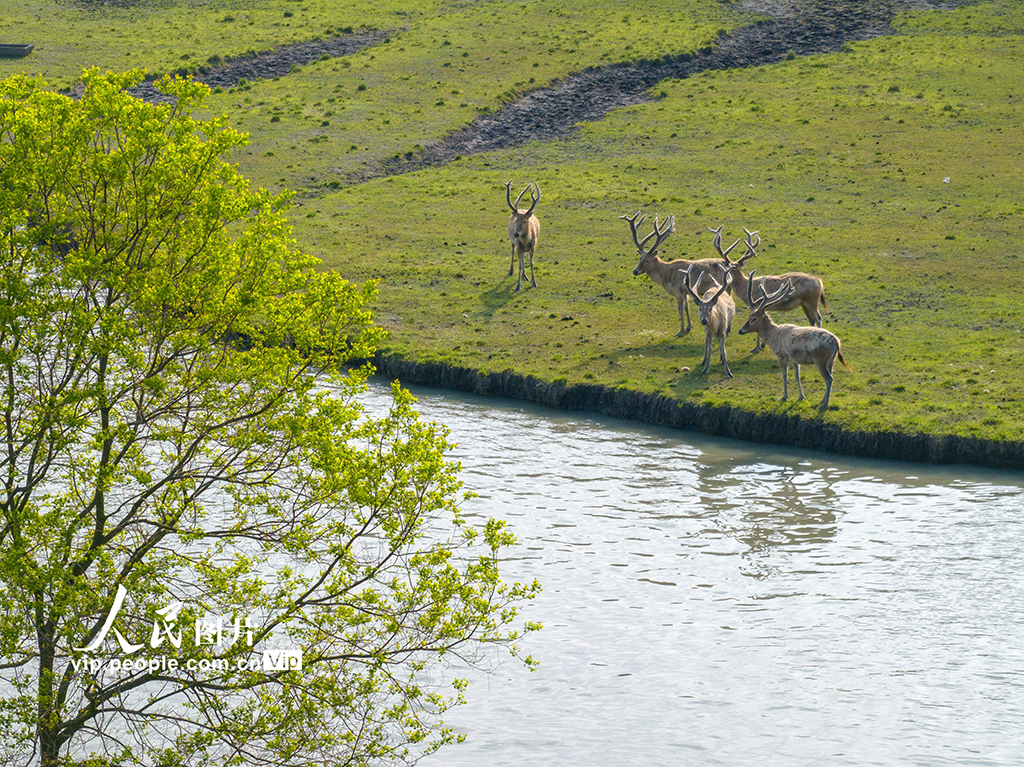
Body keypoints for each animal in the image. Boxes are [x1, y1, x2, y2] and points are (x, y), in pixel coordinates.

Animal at [716, 223, 835, 352]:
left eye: (730, 269)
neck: (745, 288)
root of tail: (820, 282)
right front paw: (762, 345)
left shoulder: (757, 304)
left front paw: (757, 348)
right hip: (803, 303)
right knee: (811, 319)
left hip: (812, 301)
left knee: (818, 318)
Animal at [741, 270, 851, 409]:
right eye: (749, 316)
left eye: (753, 319)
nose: (740, 330)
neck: (773, 336)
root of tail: (836, 341)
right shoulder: (794, 359)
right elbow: (797, 376)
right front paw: (801, 397)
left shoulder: (781, 355)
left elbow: (784, 376)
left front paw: (784, 397)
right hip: (832, 360)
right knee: (831, 375)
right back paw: (822, 401)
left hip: (820, 360)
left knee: (829, 379)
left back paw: (824, 405)